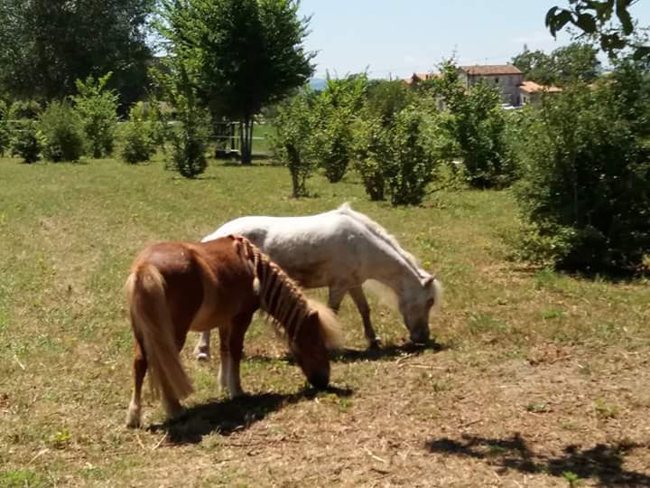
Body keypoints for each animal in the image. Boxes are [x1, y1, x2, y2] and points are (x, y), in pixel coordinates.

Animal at [125, 235, 340, 428]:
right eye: (316, 343)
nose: (324, 381)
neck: (254, 268)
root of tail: (145, 266)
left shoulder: (225, 320)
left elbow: (225, 350)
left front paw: (224, 384)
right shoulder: (241, 318)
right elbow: (235, 350)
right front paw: (237, 390)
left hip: (143, 333)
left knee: (140, 363)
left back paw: (134, 417)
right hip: (172, 335)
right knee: (163, 364)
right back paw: (175, 410)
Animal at [194, 203, 442, 361]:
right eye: (429, 302)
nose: (423, 338)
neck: (360, 244)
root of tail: (213, 237)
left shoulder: (353, 284)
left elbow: (364, 309)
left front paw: (373, 340)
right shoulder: (338, 286)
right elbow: (333, 311)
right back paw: (203, 352)